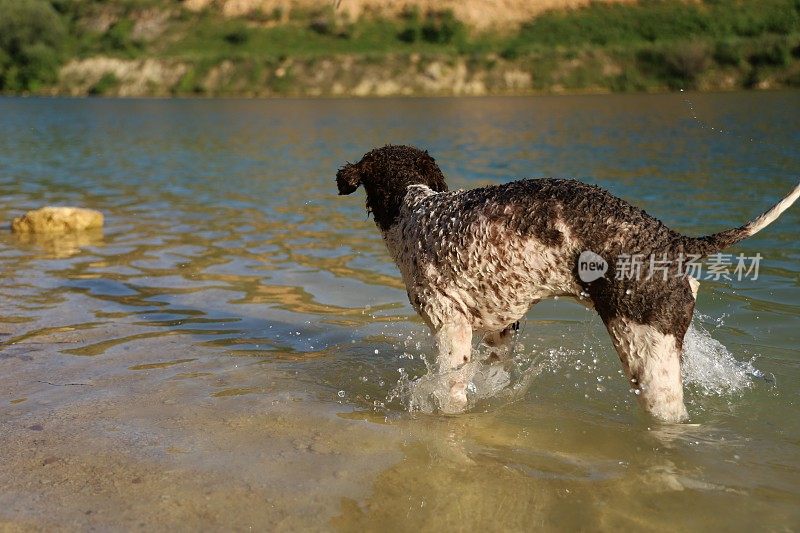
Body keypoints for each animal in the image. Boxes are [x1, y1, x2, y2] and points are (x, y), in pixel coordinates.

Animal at [334, 144, 796, 420]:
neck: (417, 208)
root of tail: (671, 239)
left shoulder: (452, 326)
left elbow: (451, 394)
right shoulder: (503, 328)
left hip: (648, 358)